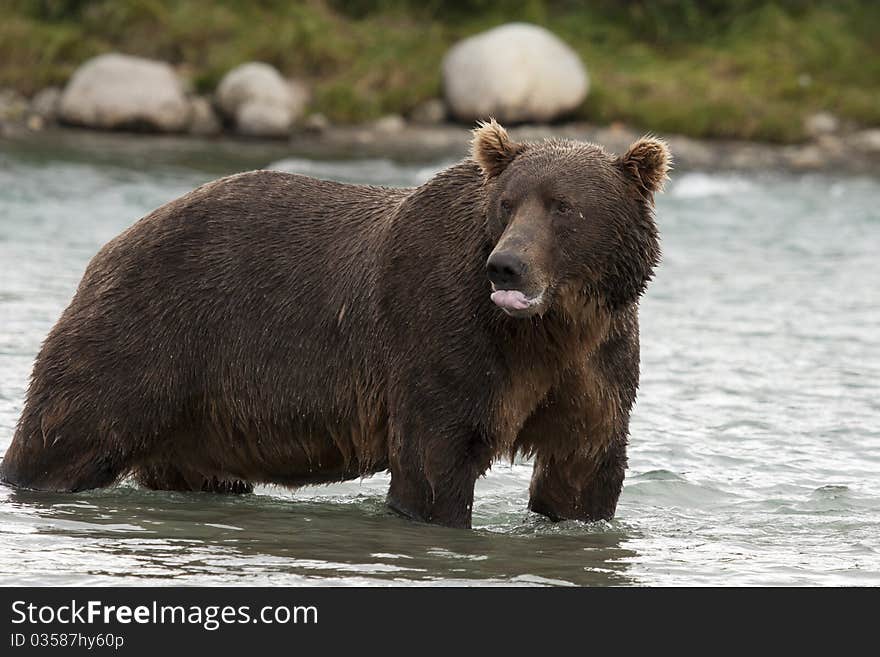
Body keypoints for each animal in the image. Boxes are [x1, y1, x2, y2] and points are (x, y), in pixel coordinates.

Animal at [0, 119, 668, 528]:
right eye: (506, 203)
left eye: (564, 207)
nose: (506, 265)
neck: (551, 328)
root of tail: (117, 239)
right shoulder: (447, 336)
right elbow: (435, 458)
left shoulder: (597, 362)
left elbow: (583, 467)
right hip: (148, 333)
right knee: (63, 433)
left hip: (200, 409)